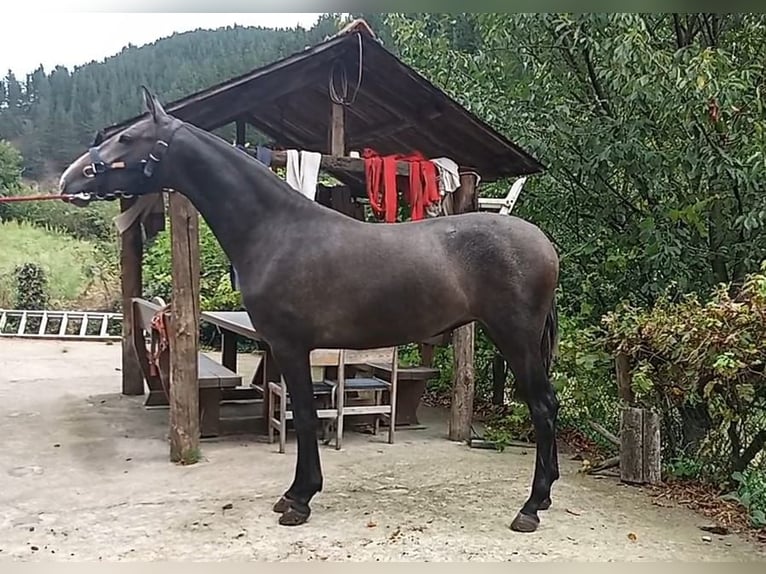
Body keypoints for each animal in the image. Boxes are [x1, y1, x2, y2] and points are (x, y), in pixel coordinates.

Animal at [58, 86, 564, 536]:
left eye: (127, 138)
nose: (68, 179)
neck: (276, 229)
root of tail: (544, 244)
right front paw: (295, 494)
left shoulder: (289, 345)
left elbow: (302, 414)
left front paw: (299, 499)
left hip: (515, 339)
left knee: (542, 406)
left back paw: (531, 508)